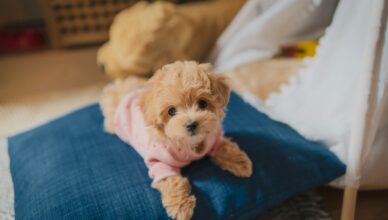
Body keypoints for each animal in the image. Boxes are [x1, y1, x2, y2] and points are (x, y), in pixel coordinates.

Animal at [100, 60, 253, 220]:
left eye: (202, 103)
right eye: (171, 111)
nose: (191, 124)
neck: (188, 143)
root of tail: (123, 95)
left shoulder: (213, 139)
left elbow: (224, 147)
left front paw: (240, 162)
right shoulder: (160, 161)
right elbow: (172, 181)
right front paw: (181, 206)